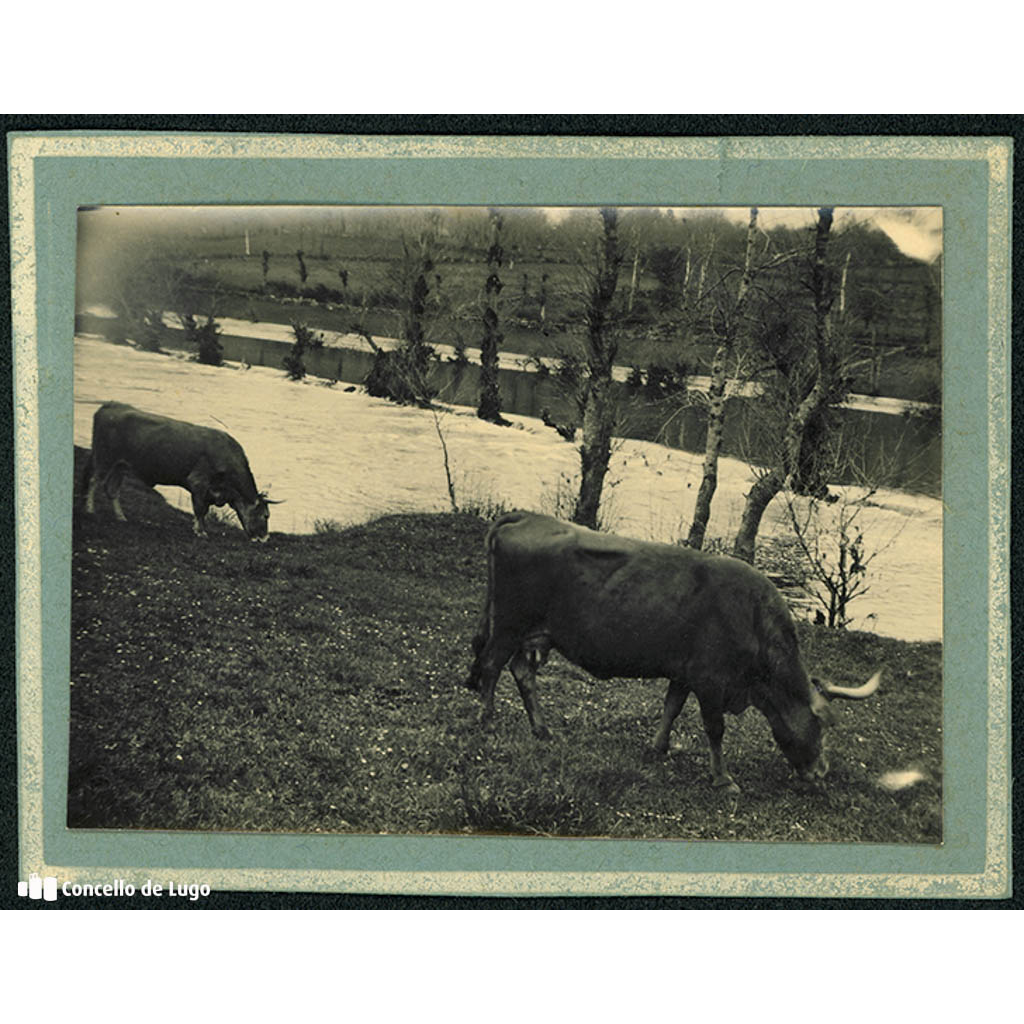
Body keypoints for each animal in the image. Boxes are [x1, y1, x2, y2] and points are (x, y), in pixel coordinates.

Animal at [83, 401, 280, 544]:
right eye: (265, 515)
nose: (265, 538)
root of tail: (111, 404)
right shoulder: (198, 482)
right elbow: (200, 509)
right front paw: (200, 532)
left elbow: (203, 510)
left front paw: (198, 529)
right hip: (104, 459)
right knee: (93, 481)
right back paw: (90, 509)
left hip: (120, 466)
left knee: (112, 489)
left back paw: (121, 517)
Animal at [468, 512, 884, 790]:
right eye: (820, 726)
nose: (821, 772)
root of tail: (526, 516)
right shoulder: (710, 680)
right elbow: (714, 729)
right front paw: (722, 779)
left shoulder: (684, 673)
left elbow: (670, 708)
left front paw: (658, 747)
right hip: (508, 626)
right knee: (490, 665)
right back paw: (487, 719)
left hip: (532, 635)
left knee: (522, 672)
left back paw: (541, 729)